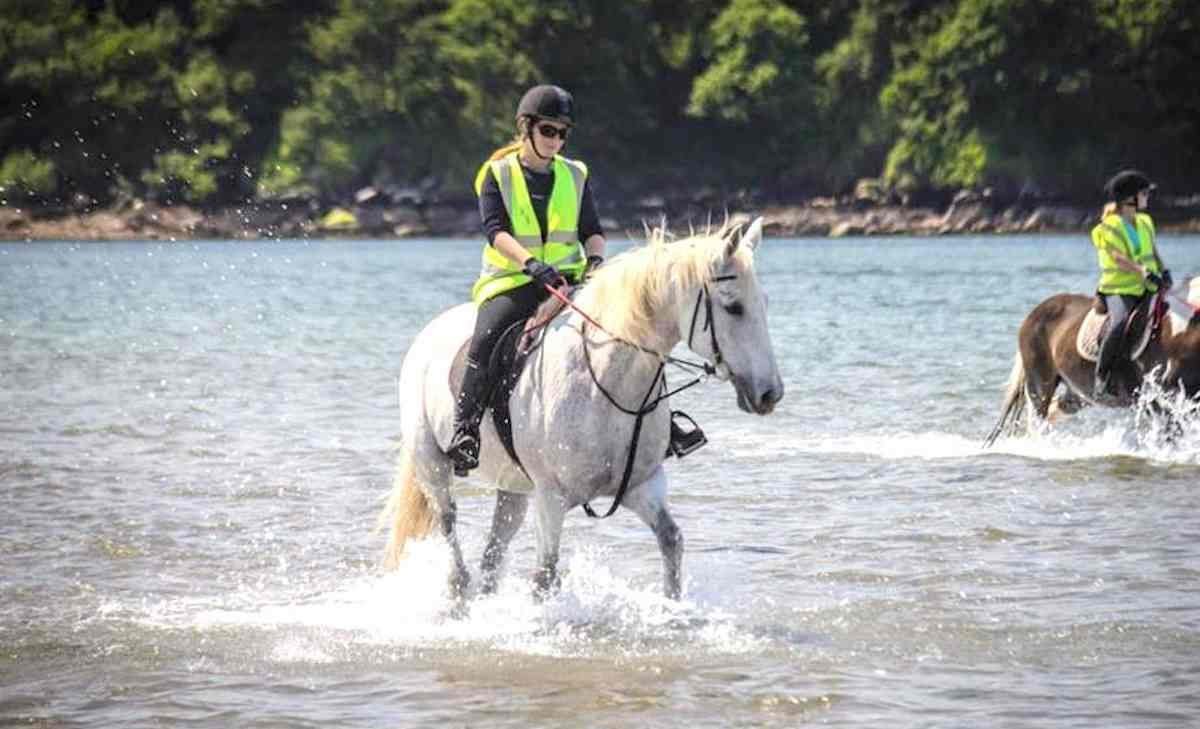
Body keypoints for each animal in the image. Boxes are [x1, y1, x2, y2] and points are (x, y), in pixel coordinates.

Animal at [379, 217, 783, 601]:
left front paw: (673, 610)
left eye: (766, 303)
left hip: (513, 487)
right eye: (733, 307)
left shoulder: (643, 485)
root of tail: (430, 331)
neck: (604, 382)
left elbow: (672, 541)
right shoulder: (551, 498)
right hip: (433, 465)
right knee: (451, 535)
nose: (771, 394)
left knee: (493, 554)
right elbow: (545, 575)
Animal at [984, 276, 1200, 445]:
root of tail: (1033, 314)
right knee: (1037, 421)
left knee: (1053, 411)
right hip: (1040, 385)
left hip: (1076, 393)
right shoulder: (1157, 400)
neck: (1181, 331)